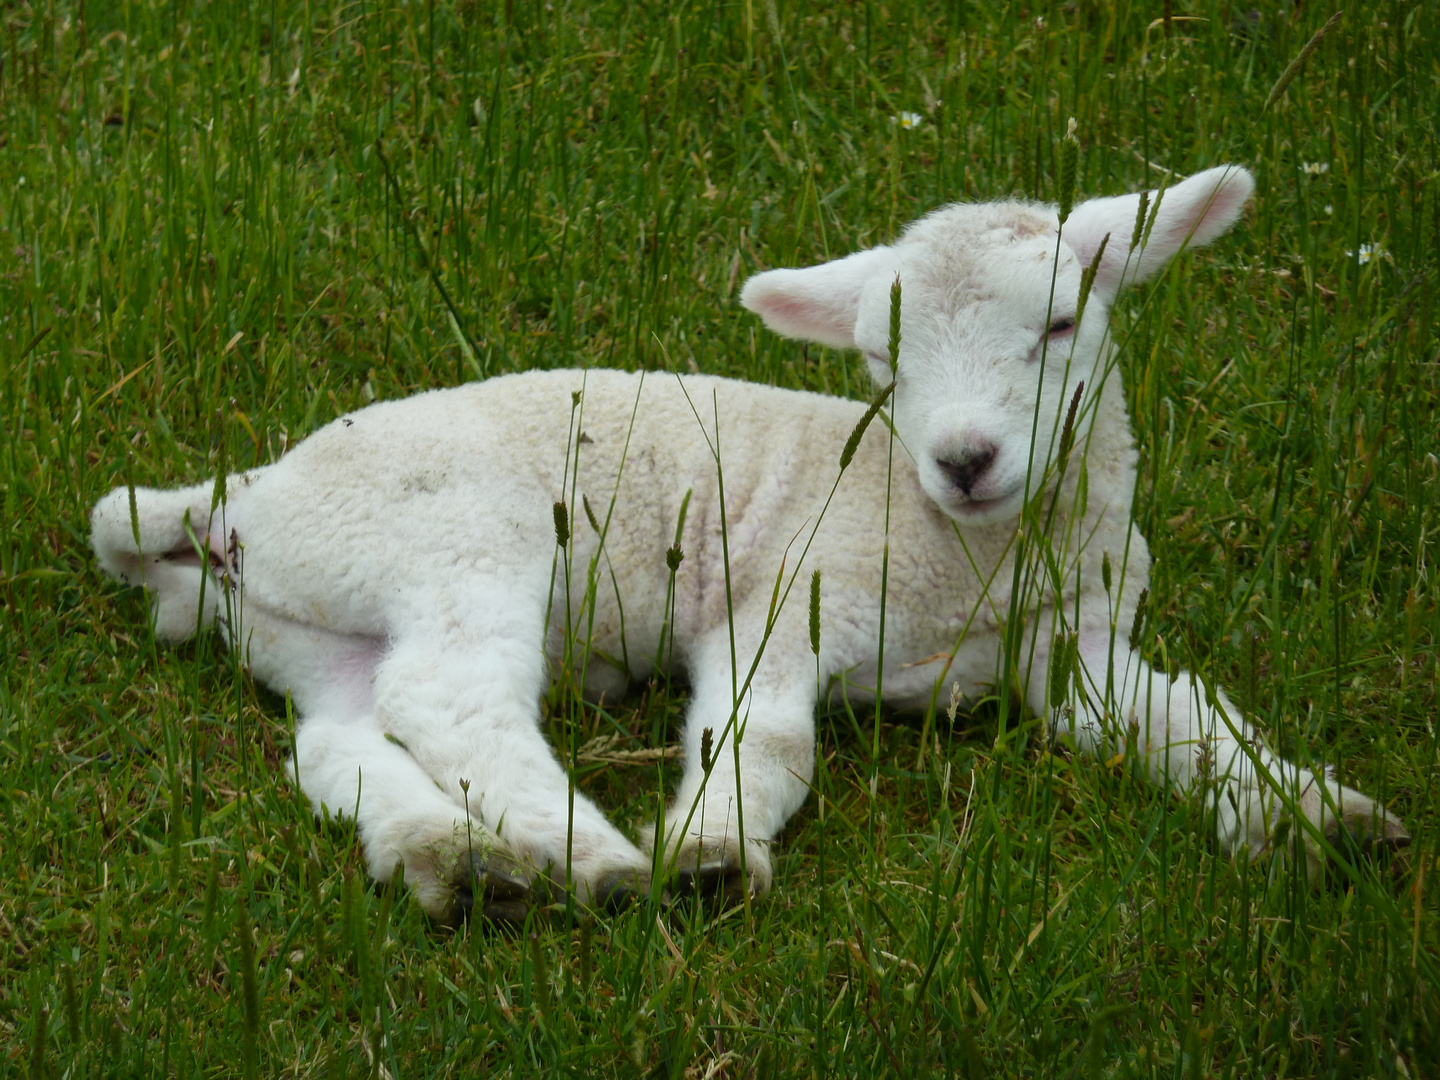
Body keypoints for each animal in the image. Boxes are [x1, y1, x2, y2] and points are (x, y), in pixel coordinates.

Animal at [90, 164, 1405, 927]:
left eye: (1063, 324)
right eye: (883, 360)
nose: (966, 458)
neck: (967, 554)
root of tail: (241, 497)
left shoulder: (1073, 645)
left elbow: (1184, 720)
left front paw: (1314, 818)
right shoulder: (789, 595)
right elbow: (760, 736)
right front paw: (712, 851)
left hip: (307, 627)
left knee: (344, 738)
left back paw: (454, 862)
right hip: (457, 536)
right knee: (454, 698)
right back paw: (592, 860)